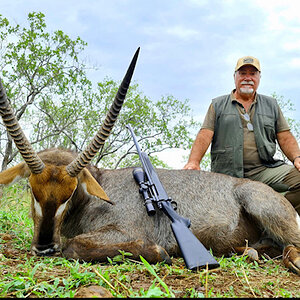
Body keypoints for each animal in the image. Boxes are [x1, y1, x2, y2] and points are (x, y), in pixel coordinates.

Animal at [0, 48, 298, 276]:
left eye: (70, 192)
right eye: (31, 188)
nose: (44, 247)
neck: (96, 192)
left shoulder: (121, 231)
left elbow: (73, 246)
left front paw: (157, 251)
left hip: (264, 207)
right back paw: (249, 253)